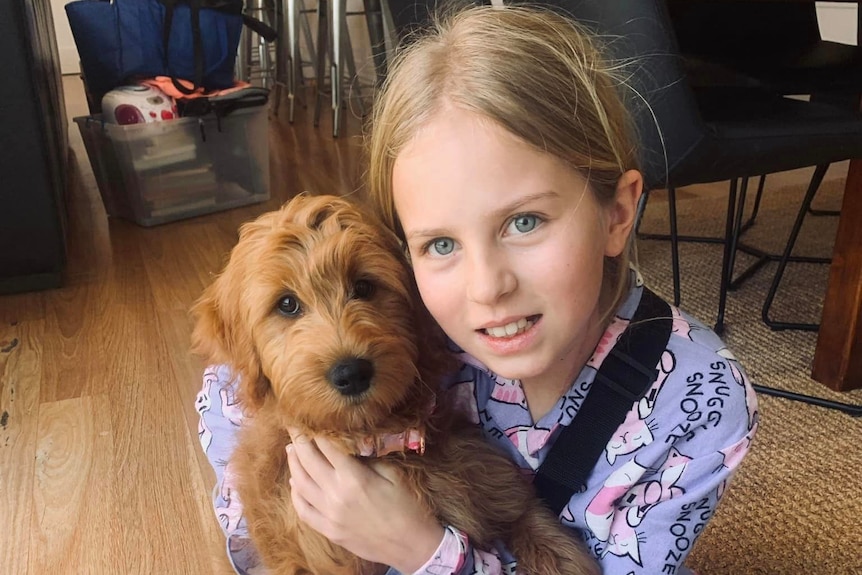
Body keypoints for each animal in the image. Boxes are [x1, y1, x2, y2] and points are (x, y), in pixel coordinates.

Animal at [193, 195, 600, 575]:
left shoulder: (498, 488)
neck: (380, 439)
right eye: (287, 304)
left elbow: (537, 528)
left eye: (364, 286)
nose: (351, 373)